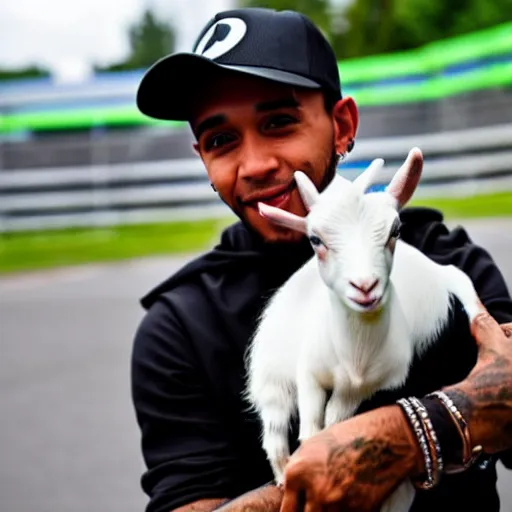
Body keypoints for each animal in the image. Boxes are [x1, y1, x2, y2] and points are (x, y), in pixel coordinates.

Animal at [246, 146, 482, 510]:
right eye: (315, 239)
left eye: (395, 231)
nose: (365, 286)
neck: (356, 354)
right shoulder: (308, 373)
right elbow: (311, 422)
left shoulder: (372, 384)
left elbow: (335, 419)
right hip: (271, 380)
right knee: (274, 431)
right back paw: (282, 473)